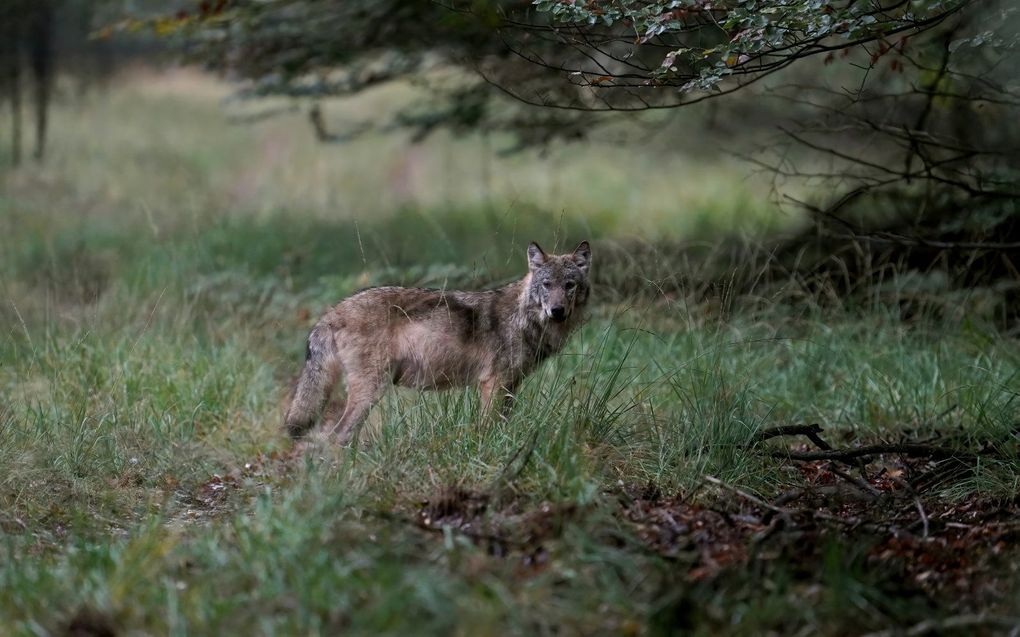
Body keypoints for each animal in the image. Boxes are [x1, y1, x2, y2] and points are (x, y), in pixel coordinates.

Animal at [283, 239, 595, 442]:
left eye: (569, 285)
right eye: (547, 285)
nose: (557, 311)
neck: (524, 319)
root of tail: (332, 311)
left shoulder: (510, 386)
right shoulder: (493, 384)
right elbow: (487, 428)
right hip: (371, 390)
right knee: (338, 436)